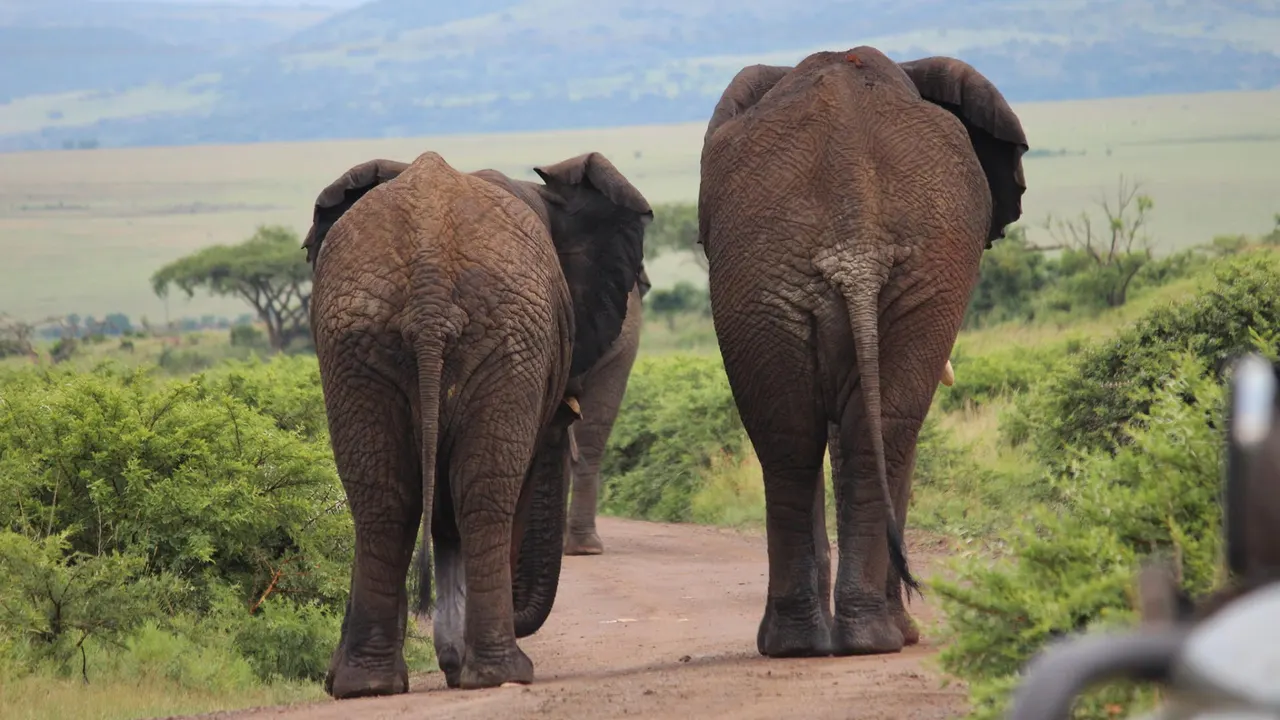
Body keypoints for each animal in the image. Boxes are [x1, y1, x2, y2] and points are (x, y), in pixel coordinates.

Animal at [302, 150, 652, 697]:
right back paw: (501, 674)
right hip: (500, 339)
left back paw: (366, 684)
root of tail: (429, 280)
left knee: (385, 499)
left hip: (358, 343)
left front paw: (445, 661)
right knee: (485, 495)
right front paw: (454, 662)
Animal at [697, 47, 1029, 658]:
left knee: (792, 436)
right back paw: (873, 638)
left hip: (766, 277)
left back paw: (803, 644)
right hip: (902, 277)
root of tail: (855, 242)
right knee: (881, 430)